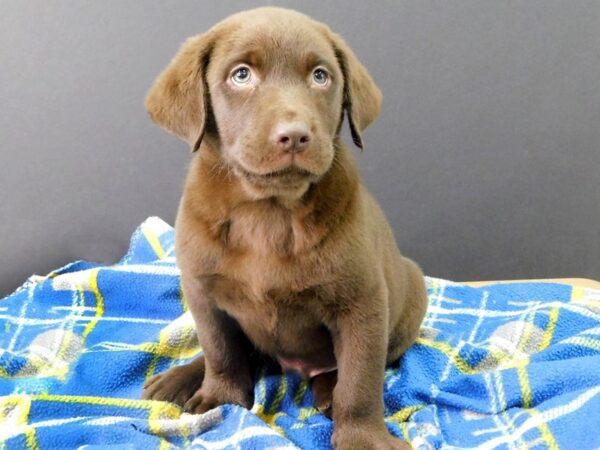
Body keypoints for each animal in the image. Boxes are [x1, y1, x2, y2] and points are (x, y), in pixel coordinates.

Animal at [143, 7, 428, 450]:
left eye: (320, 76)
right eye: (241, 75)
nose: (294, 135)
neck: (269, 211)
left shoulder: (362, 302)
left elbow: (360, 379)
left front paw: (363, 437)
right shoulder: (201, 289)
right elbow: (220, 349)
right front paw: (221, 397)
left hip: (411, 293)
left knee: (350, 367)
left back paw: (326, 392)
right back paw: (178, 378)